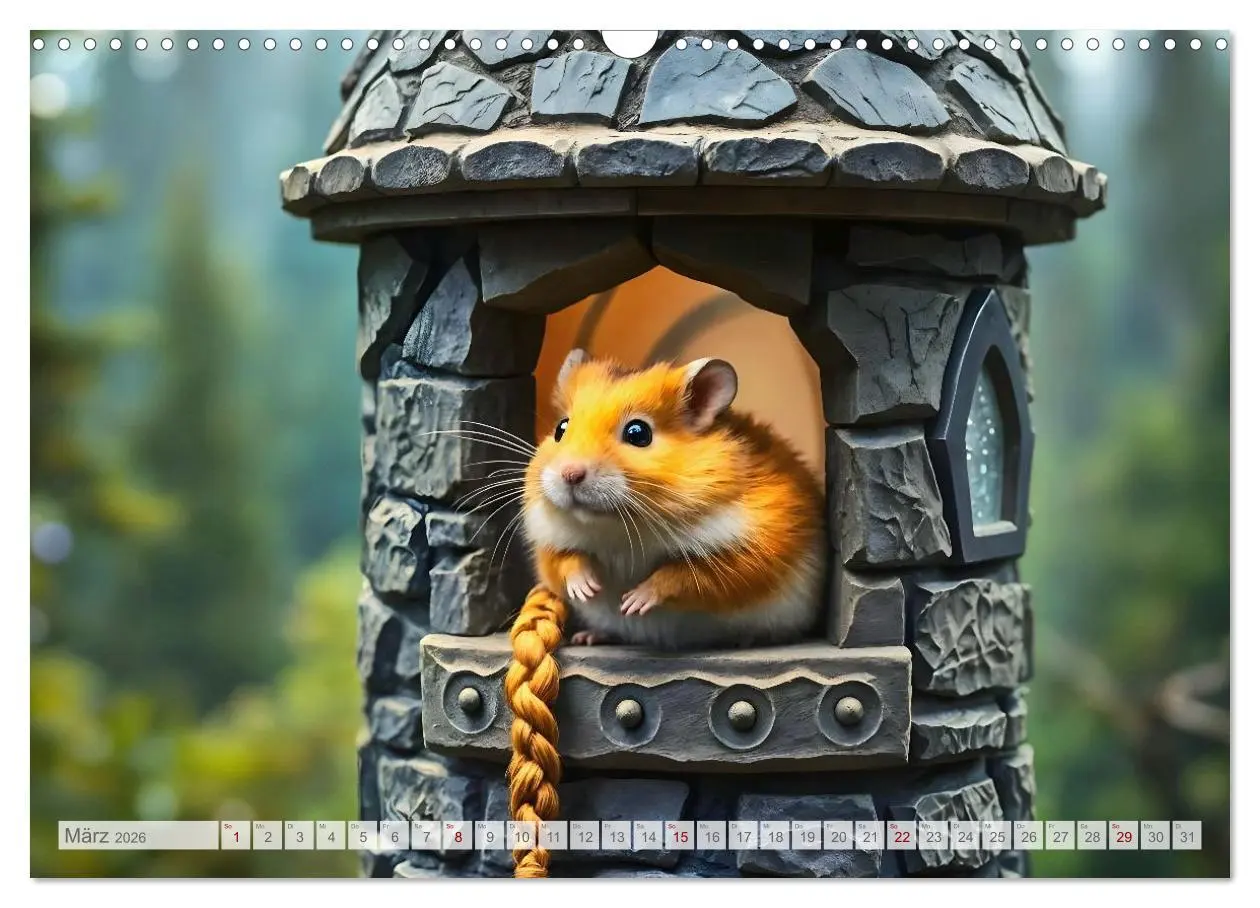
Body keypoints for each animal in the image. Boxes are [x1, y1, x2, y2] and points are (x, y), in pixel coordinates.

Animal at [523, 348, 826, 650]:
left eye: (638, 433)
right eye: (561, 428)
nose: (570, 474)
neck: (619, 526)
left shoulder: (750, 552)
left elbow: (683, 575)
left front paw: (633, 602)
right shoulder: (548, 542)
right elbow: (566, 561)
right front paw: (588, 589)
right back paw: (589, 636)